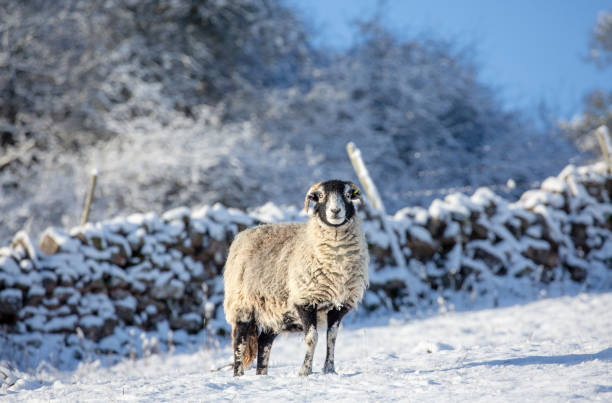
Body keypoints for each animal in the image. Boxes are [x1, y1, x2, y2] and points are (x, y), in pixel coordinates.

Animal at [224, 181, 370, 378]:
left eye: (348, 195)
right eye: (321, 196)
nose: (335, 211)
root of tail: (244, 233)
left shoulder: (340, 305)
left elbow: (331, 338)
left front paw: (330, 370)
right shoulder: (305, 300)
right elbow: (312, 338)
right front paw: (305, 371)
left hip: (274, 312)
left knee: (264, 342)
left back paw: (262, 375)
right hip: (242, 305)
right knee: (239, 342)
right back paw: (238, 375)